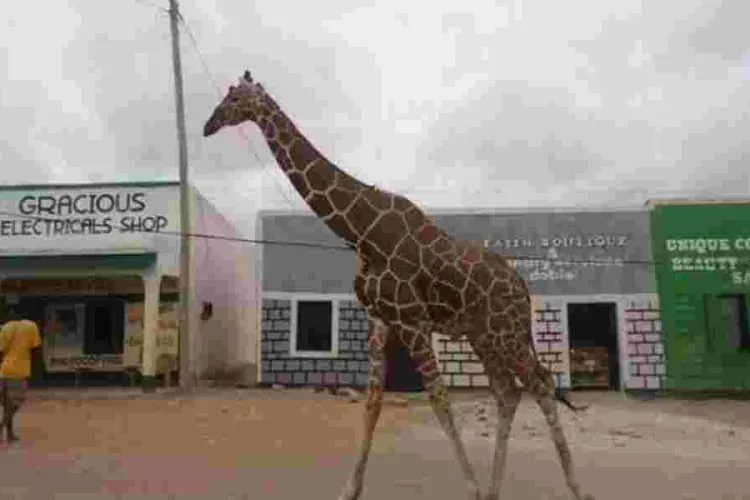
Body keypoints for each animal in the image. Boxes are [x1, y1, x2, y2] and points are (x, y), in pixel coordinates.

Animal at [203, 71, 594, 500]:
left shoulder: (411, 320)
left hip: (505, 331)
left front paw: (470, 488)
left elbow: (439, 399)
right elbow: (372, 402)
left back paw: (576, 488)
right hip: (483, 335)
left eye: (235, 98)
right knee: (508, 392)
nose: (208, 125)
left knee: (540, 384)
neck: (363, 233)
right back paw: (495, 490)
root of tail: (523, 288)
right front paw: (349, 490)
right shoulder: (381, 320)